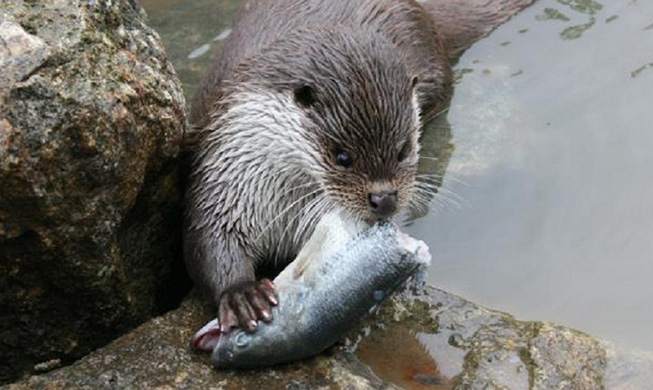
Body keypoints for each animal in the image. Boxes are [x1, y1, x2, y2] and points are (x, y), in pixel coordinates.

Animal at [185, 0, 536, 332]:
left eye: (403, 150)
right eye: (342, 157)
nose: (385, 199)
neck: (282, 203)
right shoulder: (225, 176)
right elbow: (209, 237)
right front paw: (242, 295)